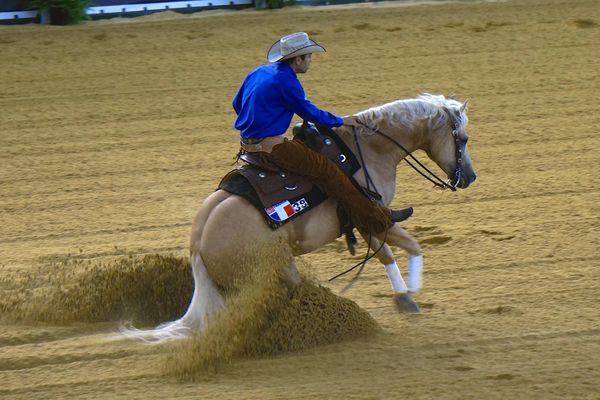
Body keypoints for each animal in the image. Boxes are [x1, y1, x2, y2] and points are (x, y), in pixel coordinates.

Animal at [123, 93, 478, 340]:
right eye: (462, 139)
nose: (470, 177)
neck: (366, 149)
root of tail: (198, 245)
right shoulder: (370, 211)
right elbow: (411, 244)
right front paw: (414, 292)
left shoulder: (363, 220)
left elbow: (385, 254)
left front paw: (403, 297)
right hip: (281, 271)